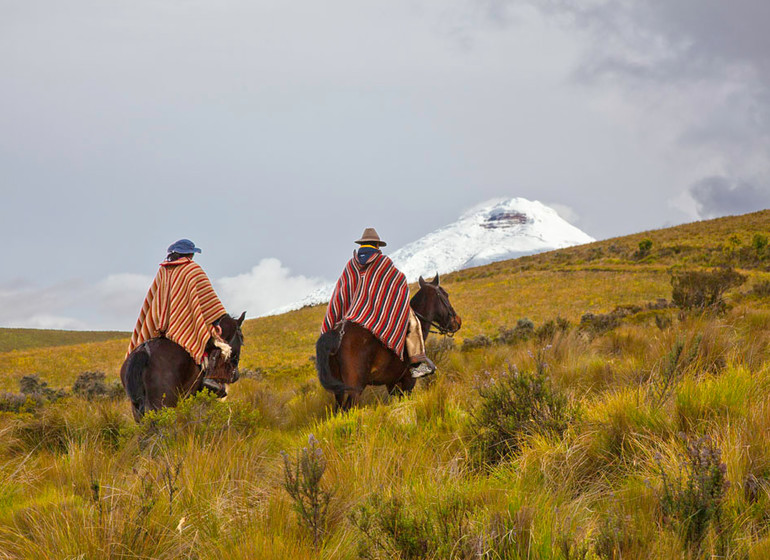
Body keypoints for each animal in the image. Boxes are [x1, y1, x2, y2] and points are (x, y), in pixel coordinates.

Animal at [314, 276, 460, 412]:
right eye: (445, 294)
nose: (457, 322)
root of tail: (337, 334)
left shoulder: (393, 384)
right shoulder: (408, 381)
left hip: (339, 391)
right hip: (354, 389)